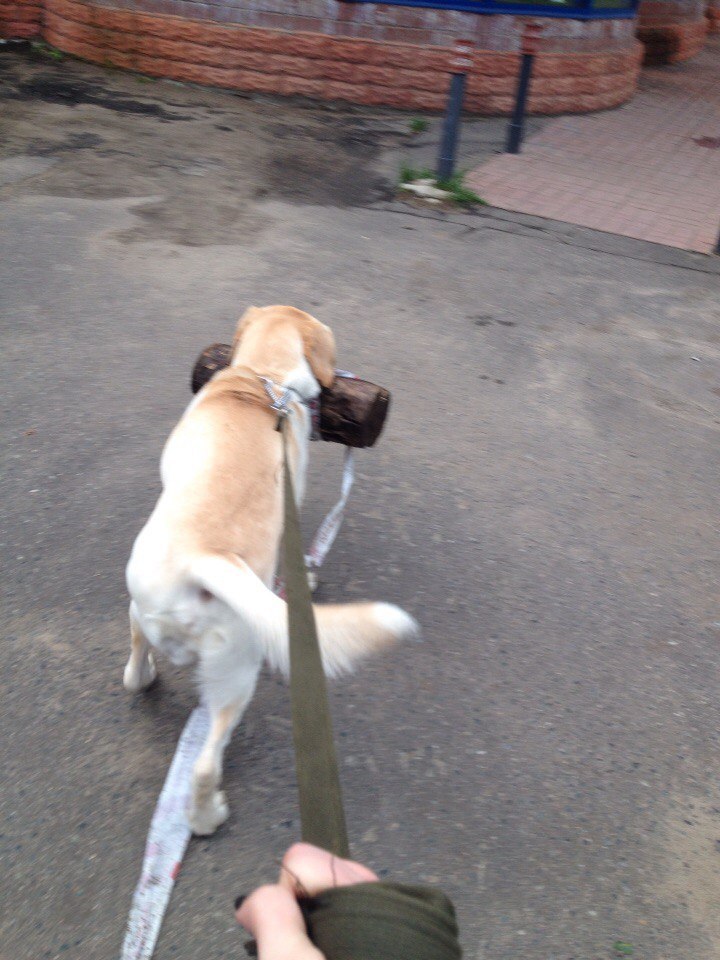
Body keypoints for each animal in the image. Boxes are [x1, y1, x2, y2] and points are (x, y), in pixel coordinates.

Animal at [123, 306, 416, 832]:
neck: (266, 378)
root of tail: (207, 558)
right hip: (239, 668)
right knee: (205, 764)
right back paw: (208, 817)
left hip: (146, 604)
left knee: (135, 662)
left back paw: (146, 676)